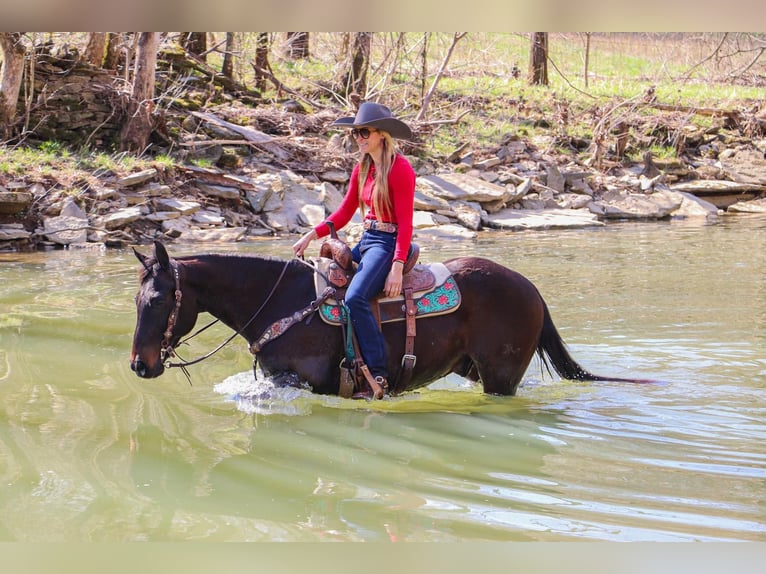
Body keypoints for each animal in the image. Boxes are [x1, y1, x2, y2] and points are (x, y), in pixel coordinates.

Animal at [132, 241, 656, 398]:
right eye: (137, 300)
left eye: (157, 299)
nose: (140, 365)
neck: (281, 302)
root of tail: (532, 290)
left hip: (500, 377)